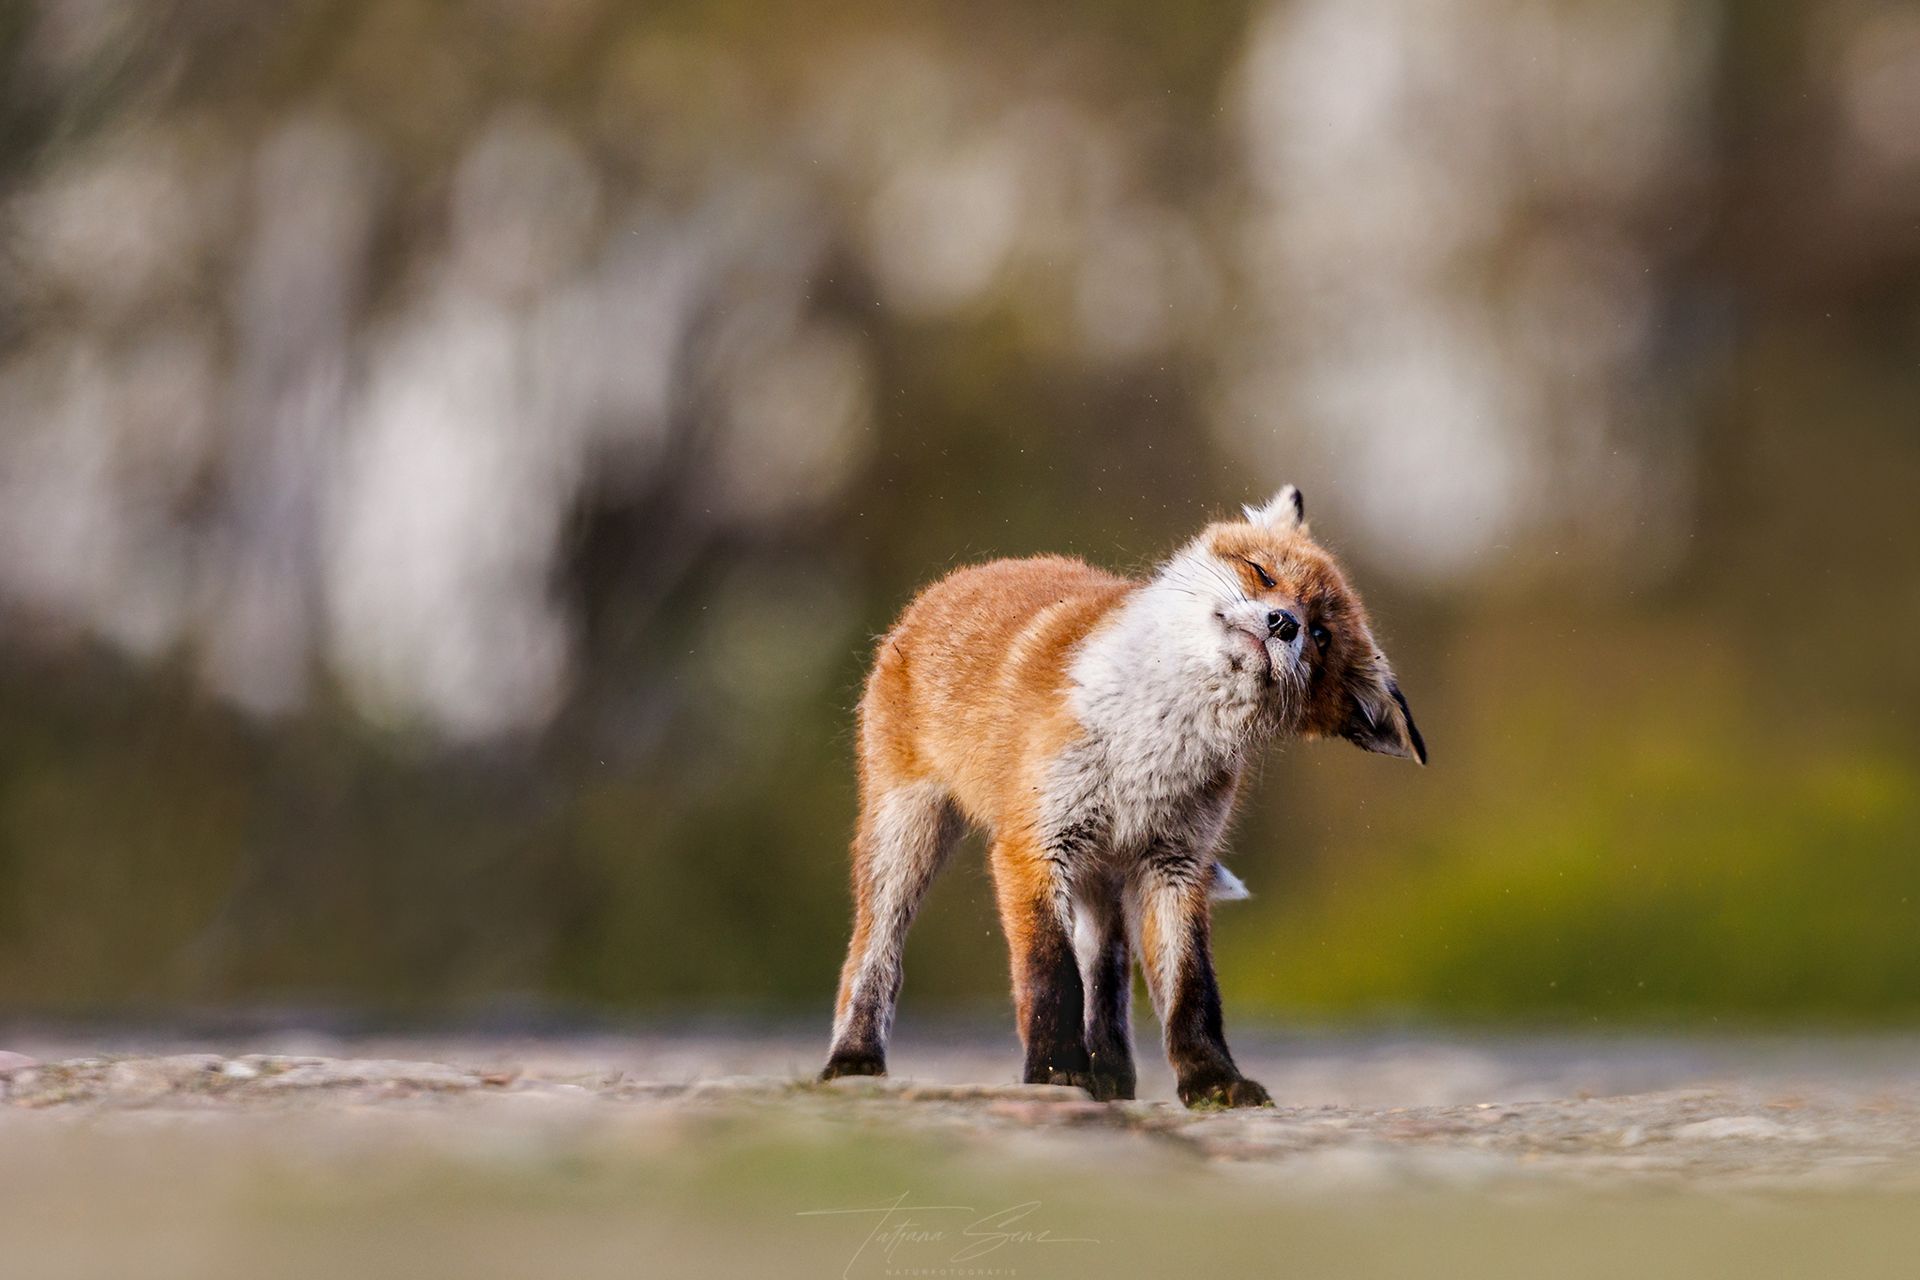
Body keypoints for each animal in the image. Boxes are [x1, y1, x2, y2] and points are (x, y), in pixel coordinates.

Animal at [820, 486, 1425, 1108]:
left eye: (1322, 637)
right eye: (1262, 574)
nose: (1284, 623)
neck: (1155, 744)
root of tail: (958, 579)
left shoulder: (1174, 865)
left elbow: (1190, 992)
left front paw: (1212, 1080)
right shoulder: (1034, 847)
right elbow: (1051, 973)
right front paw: (1056, 1071)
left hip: (1100, 876)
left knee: (1106, 973)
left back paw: (1112, 1076)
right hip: (907, 839)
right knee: (874, 953)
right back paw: (854, 1058)